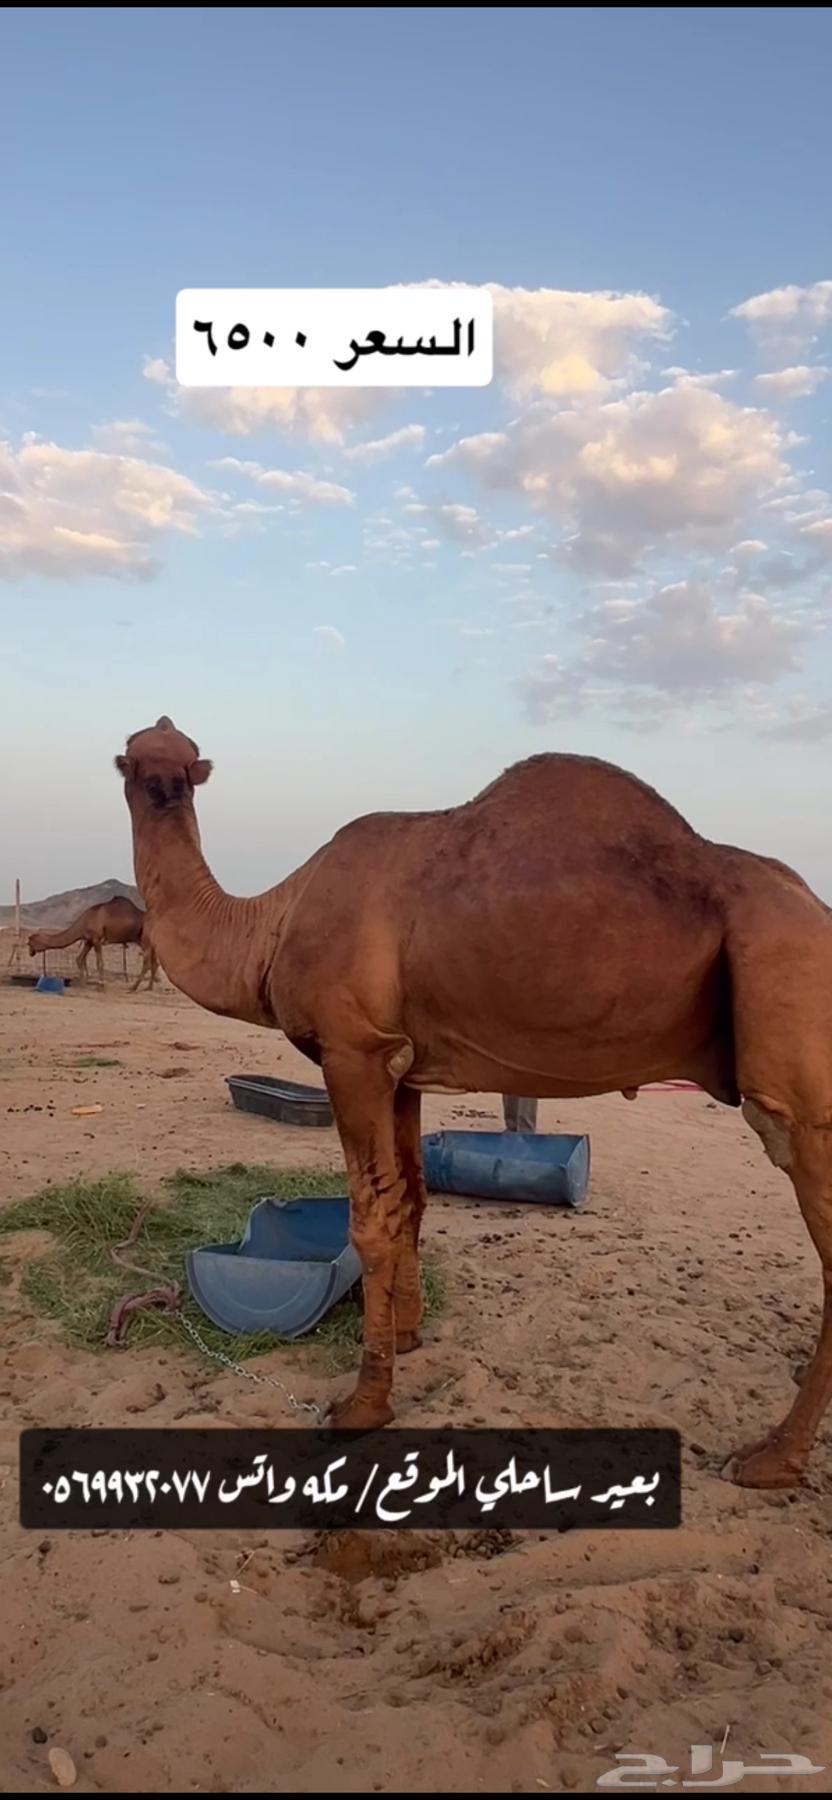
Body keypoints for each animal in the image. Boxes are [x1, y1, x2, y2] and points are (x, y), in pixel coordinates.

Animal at [28, 897, 159, 992]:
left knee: (147, 964)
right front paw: (82, 983)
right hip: (147, 942)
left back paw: (133, 987)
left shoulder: (97, 939)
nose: (30, 953)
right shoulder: (89, 941)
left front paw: (100, 986)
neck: (83, 921)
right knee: (154, 963)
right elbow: (79, 958)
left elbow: (99, 963)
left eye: (29, 943)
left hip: (145, 941)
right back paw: (148, 987)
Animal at [115, 716, 832, 1490]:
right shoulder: (402, 1068)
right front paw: (407, 1335)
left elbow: (368, 1221)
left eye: (169, 759)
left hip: (794, 1052)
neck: (271, 923)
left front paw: (363, 1404)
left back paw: (770, 1457)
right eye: (144, 756)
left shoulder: (353, 1052)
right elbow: (409, 1200)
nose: (164, 786)